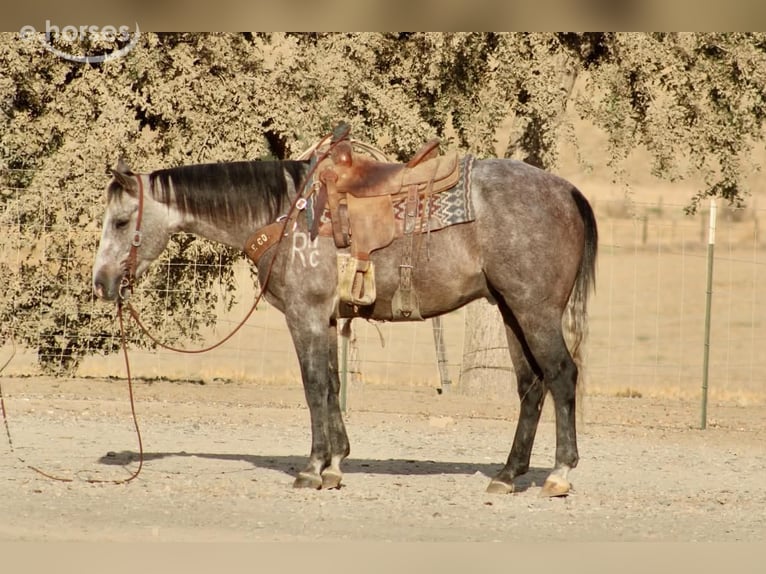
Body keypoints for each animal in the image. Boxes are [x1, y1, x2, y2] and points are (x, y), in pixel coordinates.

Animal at [92, 147, 597, 497]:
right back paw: (508, 475)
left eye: (120, 222)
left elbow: (314, 385)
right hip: (511, 312)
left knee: (561, 375)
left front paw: (312, 468)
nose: (101, 283)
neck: (285, 215)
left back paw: (558, 474)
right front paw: (335, 464)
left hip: (534, 311)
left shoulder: (306, 316)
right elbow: (333, 384)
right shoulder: (329, 319)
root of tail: (566, 192)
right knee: (531, 385)